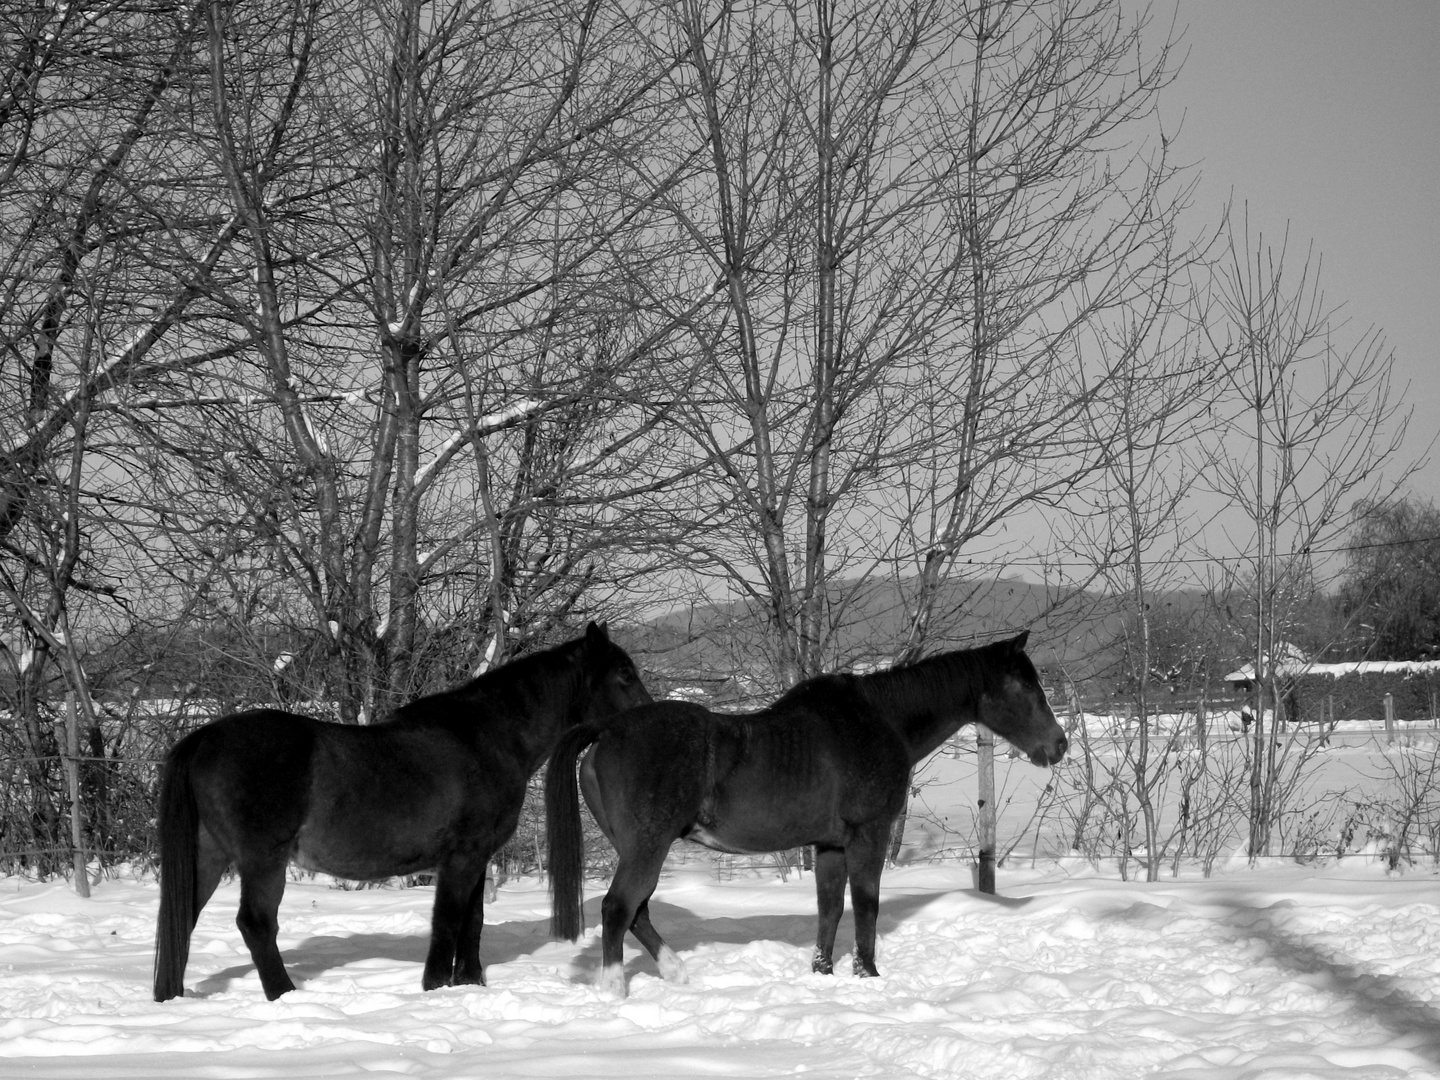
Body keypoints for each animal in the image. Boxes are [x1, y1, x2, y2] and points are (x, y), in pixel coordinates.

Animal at [154, 624, 650, 1008]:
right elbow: (448, 921)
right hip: (263, 861)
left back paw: (171, 996)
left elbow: (472, 922)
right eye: (624, 676)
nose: (650, 717)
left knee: (184, 918)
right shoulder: (462, 857)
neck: (487, 738)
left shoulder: (478, 858)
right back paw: (285, 996)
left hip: (209, 856)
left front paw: (468, 984)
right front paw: (435, 987)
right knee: (256, 924)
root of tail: (204, 738)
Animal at [544, 633, 1065, 996]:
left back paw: (676, 973)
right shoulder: (868, 835)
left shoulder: (829, 845)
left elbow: (829, 908)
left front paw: (823, 972)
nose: (1058, 745)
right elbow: (867, 905)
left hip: (636, 848)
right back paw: (615, 989)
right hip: (647, 847)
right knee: (618, 908)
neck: (880, 720)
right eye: (1022, 685)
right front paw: (868, 974)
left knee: (638, 913)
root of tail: (607, 730)